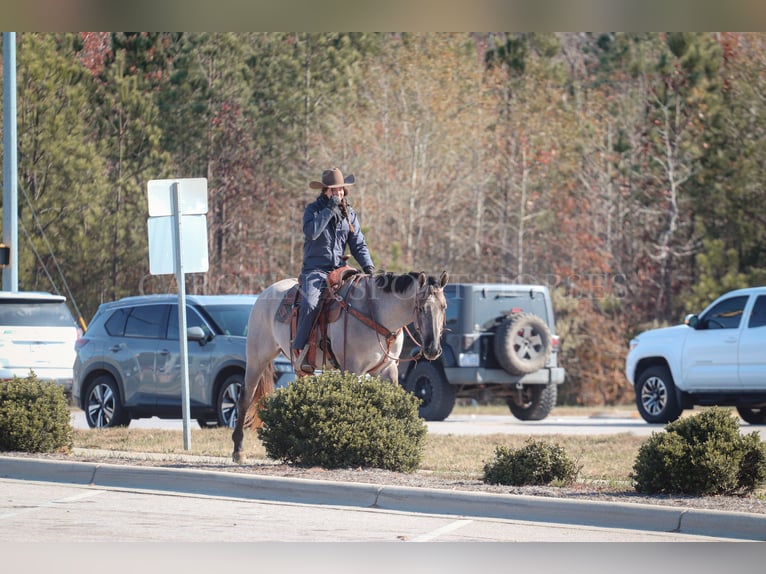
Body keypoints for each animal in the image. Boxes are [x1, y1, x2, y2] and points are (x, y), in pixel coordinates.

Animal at [234, 270, 450, 464]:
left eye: (444, 307)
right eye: (421, 308)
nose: (433, 349)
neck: (375, 313)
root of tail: (264, 294)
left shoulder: (387, 369)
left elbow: (393, 406)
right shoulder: (353, 369)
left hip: (300, 368)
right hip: (257, 358)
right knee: (245, 398)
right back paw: (238, 451)